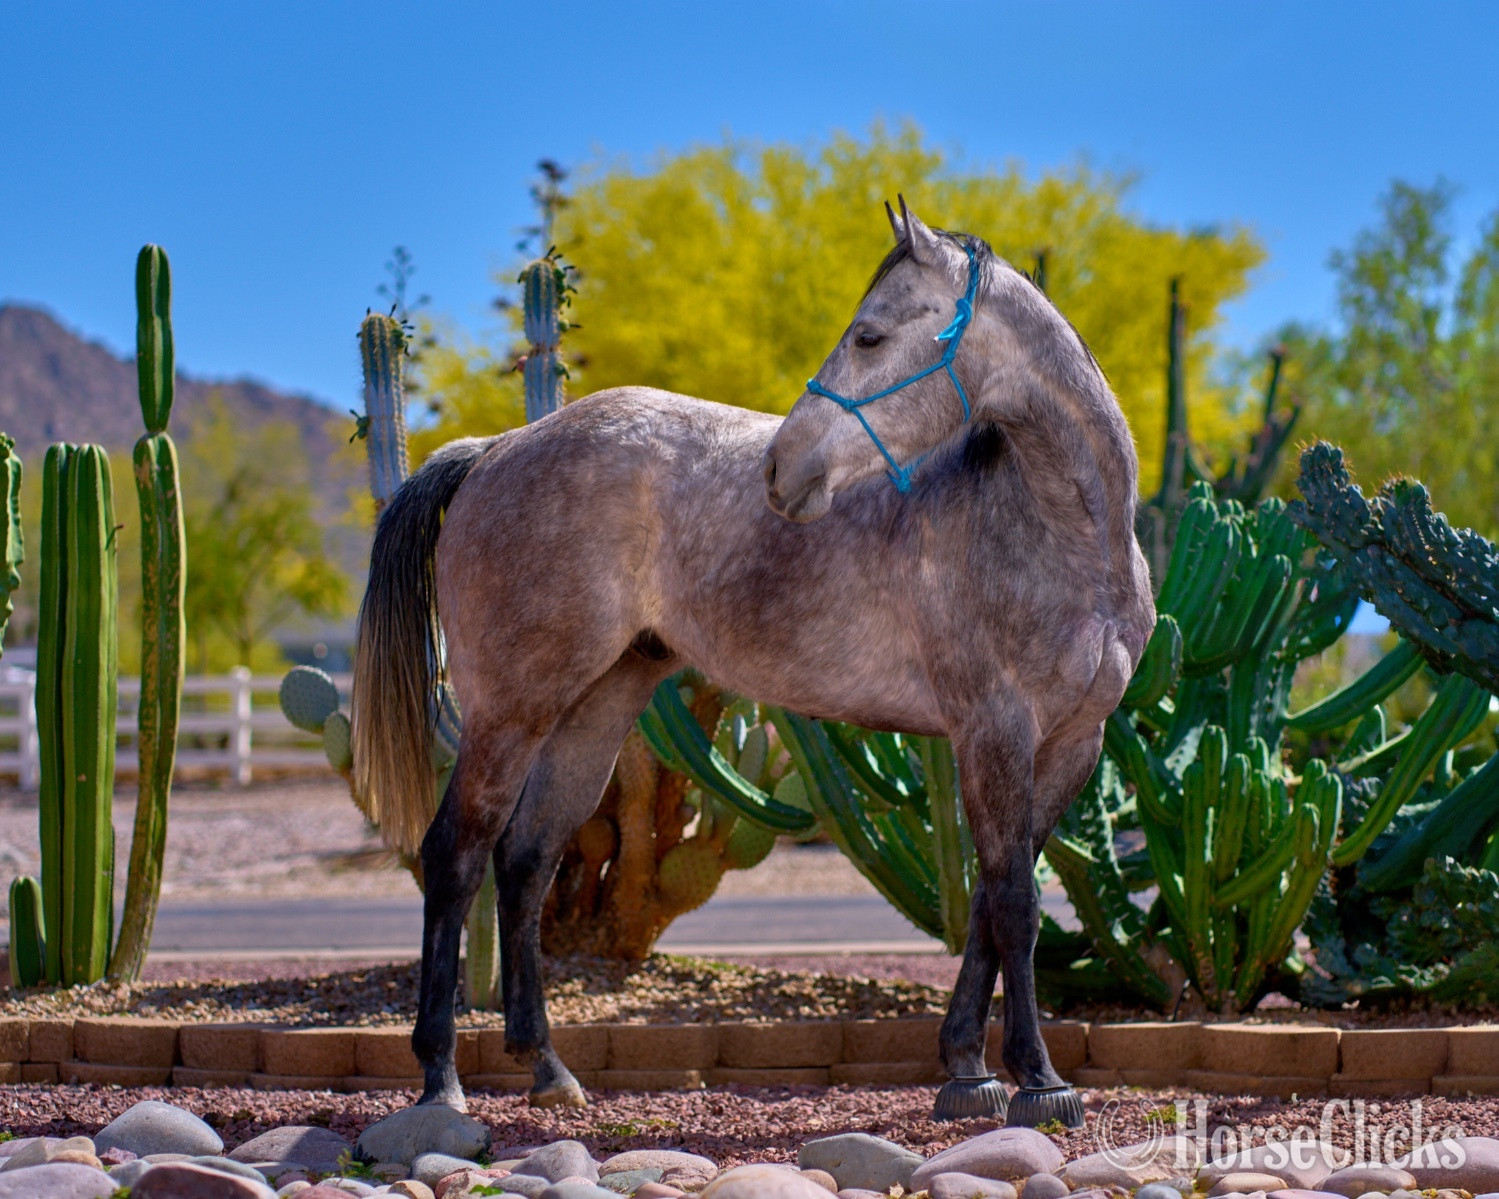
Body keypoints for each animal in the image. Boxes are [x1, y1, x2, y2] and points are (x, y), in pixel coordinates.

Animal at [350, 200, 1154, 1128]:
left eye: (869, 336)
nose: (783, 468)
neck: (1056, 529)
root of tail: (497, 446)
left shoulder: (1071, 743)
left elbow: (993, 898)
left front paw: (965, 1067)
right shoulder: (993, 730)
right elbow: (1016, 904)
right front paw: (1036, 1078)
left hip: (593, 705)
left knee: (525, 859)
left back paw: (547, 1066)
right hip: (509, 709)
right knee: (455, 856)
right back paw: (440, 1078)